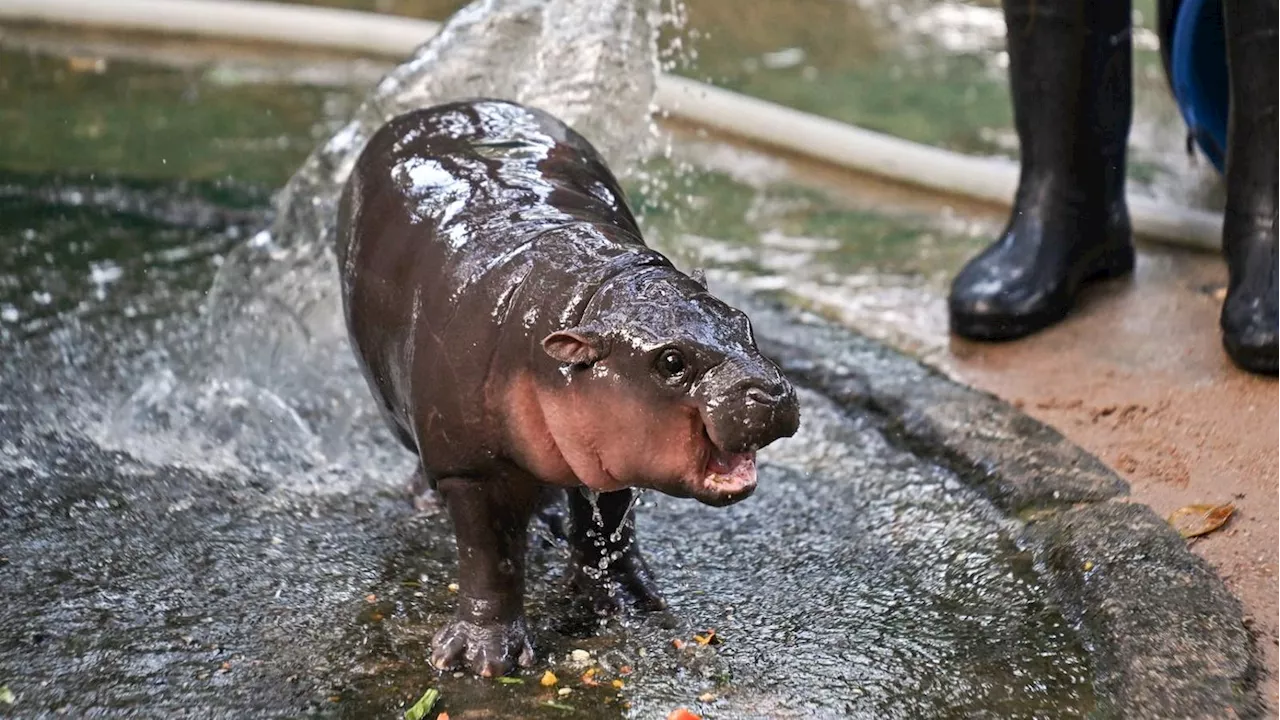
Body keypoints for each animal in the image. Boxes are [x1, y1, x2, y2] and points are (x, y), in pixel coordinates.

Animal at [337, 98, 798, 676]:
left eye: (743, 322)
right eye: (671, 361)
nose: (771, 392)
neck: (587, 297)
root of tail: (442, 107)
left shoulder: (613, 446)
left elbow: (610, 528)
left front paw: (630, 604)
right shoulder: (472, 468)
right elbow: (490, 557)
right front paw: (482, 660)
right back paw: (429, 504)